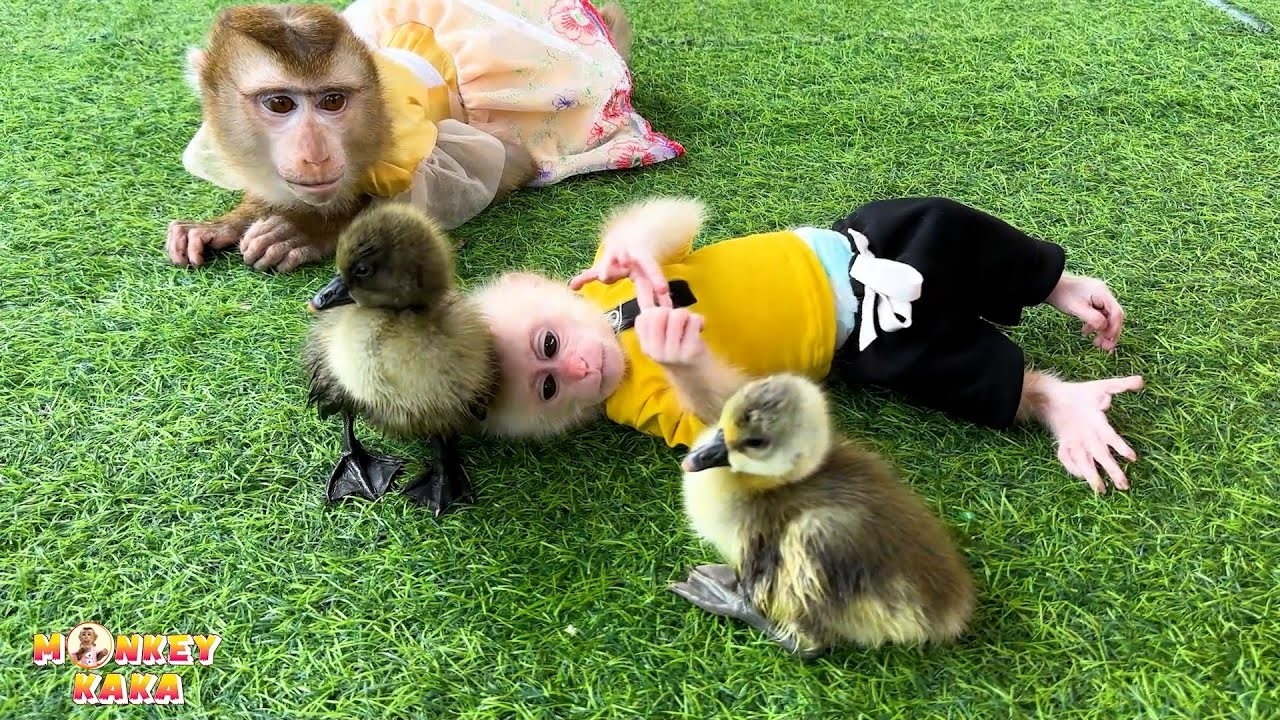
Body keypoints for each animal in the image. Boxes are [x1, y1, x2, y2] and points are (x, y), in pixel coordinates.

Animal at [166, 0, 683, 272]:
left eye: (333, 101)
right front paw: (225, 222)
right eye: (279, 104)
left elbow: (501, 165)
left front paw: (309, 229)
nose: (314, 155)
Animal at [469, 195, 1146, 495]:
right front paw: (674, 348)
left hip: (894, 221)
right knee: (980, 371)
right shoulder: (643, 409)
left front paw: (625, 261)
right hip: (899, 356)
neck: (620, 335)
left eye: (550, 341)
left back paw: (1078, 295)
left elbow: (662, 224)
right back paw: (1070, 408)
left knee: (971, 232)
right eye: (549, 385)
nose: (585, 365)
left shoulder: (647, 268)